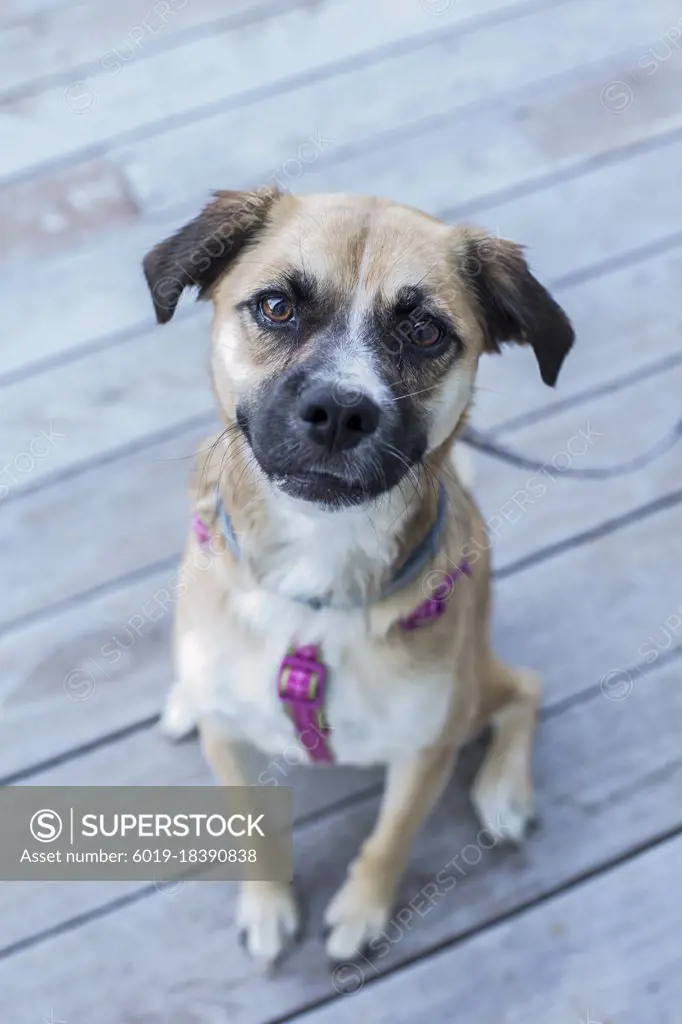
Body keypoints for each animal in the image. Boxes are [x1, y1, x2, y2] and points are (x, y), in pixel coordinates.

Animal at [143, 186, 573, 966]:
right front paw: (268, 907)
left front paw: (361, 913)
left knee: (524, 689)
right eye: (277, 306)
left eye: (426, 332)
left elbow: (388, 840)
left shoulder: (426, 748)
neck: (314, 575)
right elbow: (252, 830)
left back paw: (503, 792)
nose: (341, 411)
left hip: (477, 684)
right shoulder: (233, 748)